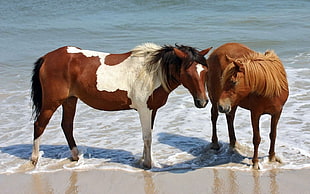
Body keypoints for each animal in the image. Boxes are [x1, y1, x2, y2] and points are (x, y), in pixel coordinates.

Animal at [30, 42, 212, 168]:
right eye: (188, 72)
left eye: (204, 71)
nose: (202, 102)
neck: (152, 73)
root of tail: (47, 57)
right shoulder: (144, 110)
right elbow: (147, 137)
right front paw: (147, 164)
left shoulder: (151, 110)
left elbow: (148, 135)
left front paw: (144, 160)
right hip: (51, 103)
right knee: (39, 125)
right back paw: (34, 159)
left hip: (70, 100)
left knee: (67, 125)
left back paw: (75, 156)